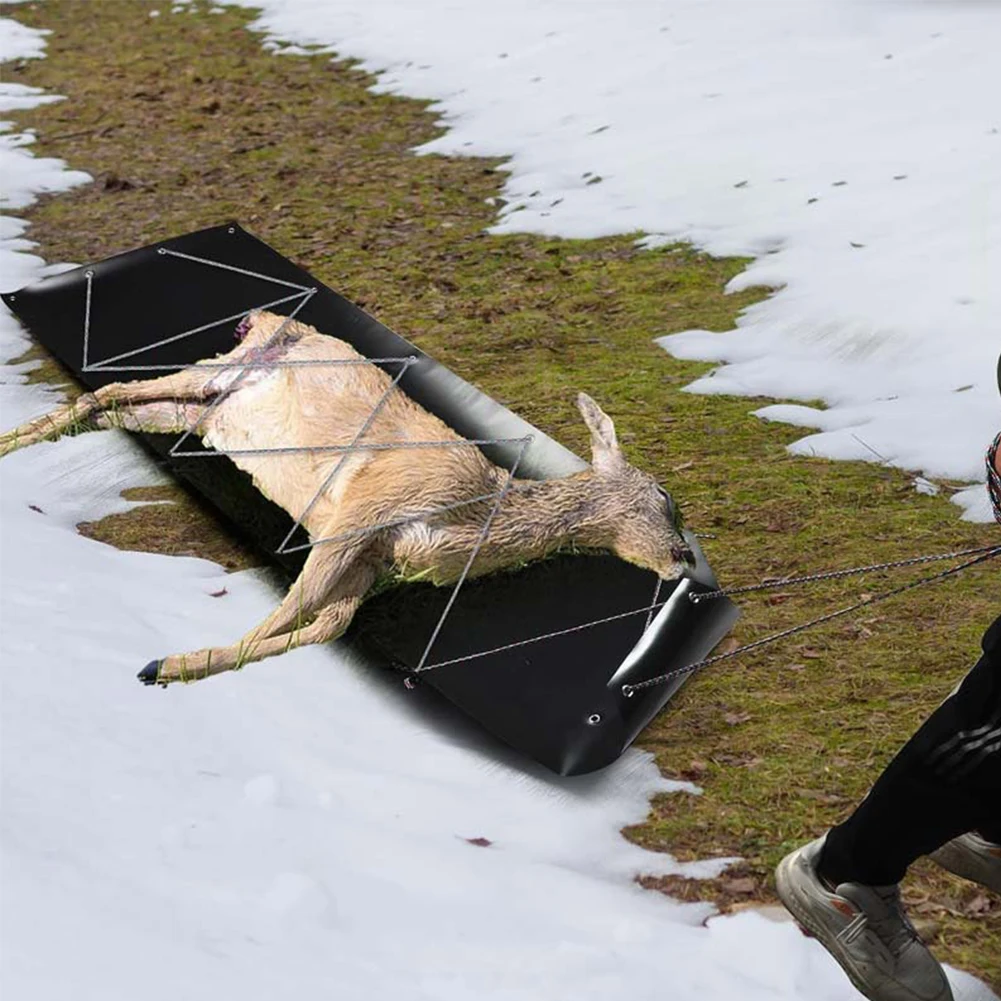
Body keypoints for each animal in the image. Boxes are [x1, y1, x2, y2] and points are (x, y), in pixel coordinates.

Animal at [0, 310, 695, 686]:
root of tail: (261, 319)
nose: (684, 559)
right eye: (666, 498)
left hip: (202, 411)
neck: (475, 514)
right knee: (110, 388)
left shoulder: (374, 566)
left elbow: (324, 626)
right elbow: (291, 609)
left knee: (108, 404)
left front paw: (173, 668)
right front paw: (162, 666)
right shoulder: (361, 513)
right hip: (216, 373)